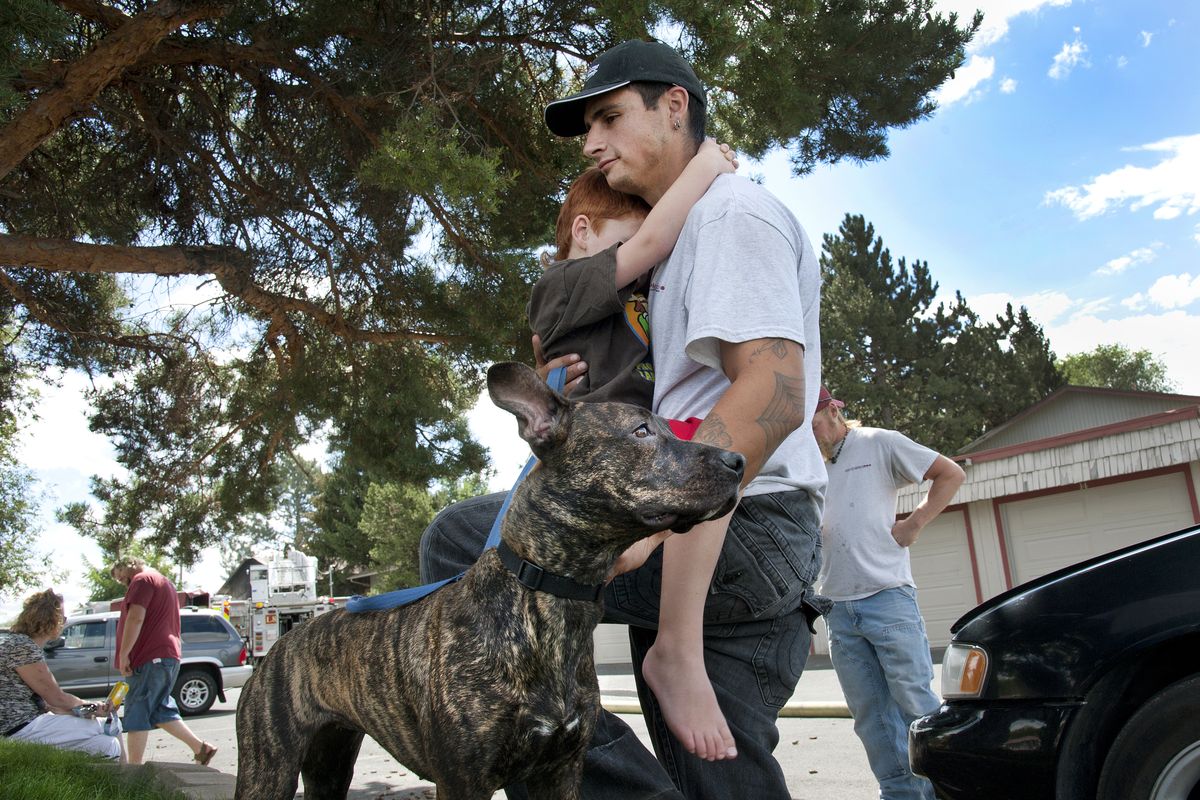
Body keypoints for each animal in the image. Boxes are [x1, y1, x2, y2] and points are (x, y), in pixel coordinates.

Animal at [234, 362, 739, 800]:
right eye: (641, 432)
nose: (737, 459)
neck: (548, 597)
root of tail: (285, 641)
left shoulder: (561, 772)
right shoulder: (462, 781)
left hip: (330, 765)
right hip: (268, 769)